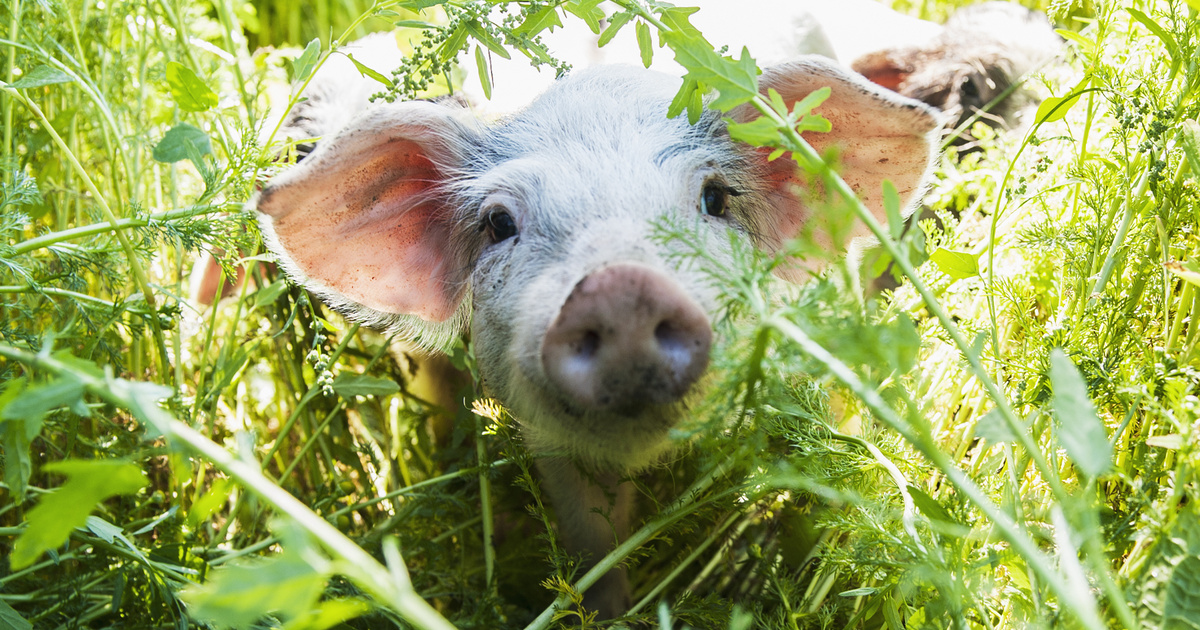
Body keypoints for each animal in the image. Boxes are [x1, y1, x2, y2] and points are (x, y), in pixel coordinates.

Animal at [255, 57, 945, 614]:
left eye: (716, 198)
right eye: (499, 222)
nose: (621, 289)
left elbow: (834, 456)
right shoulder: (551, 442)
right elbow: (593, 542)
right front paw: (608, 609)